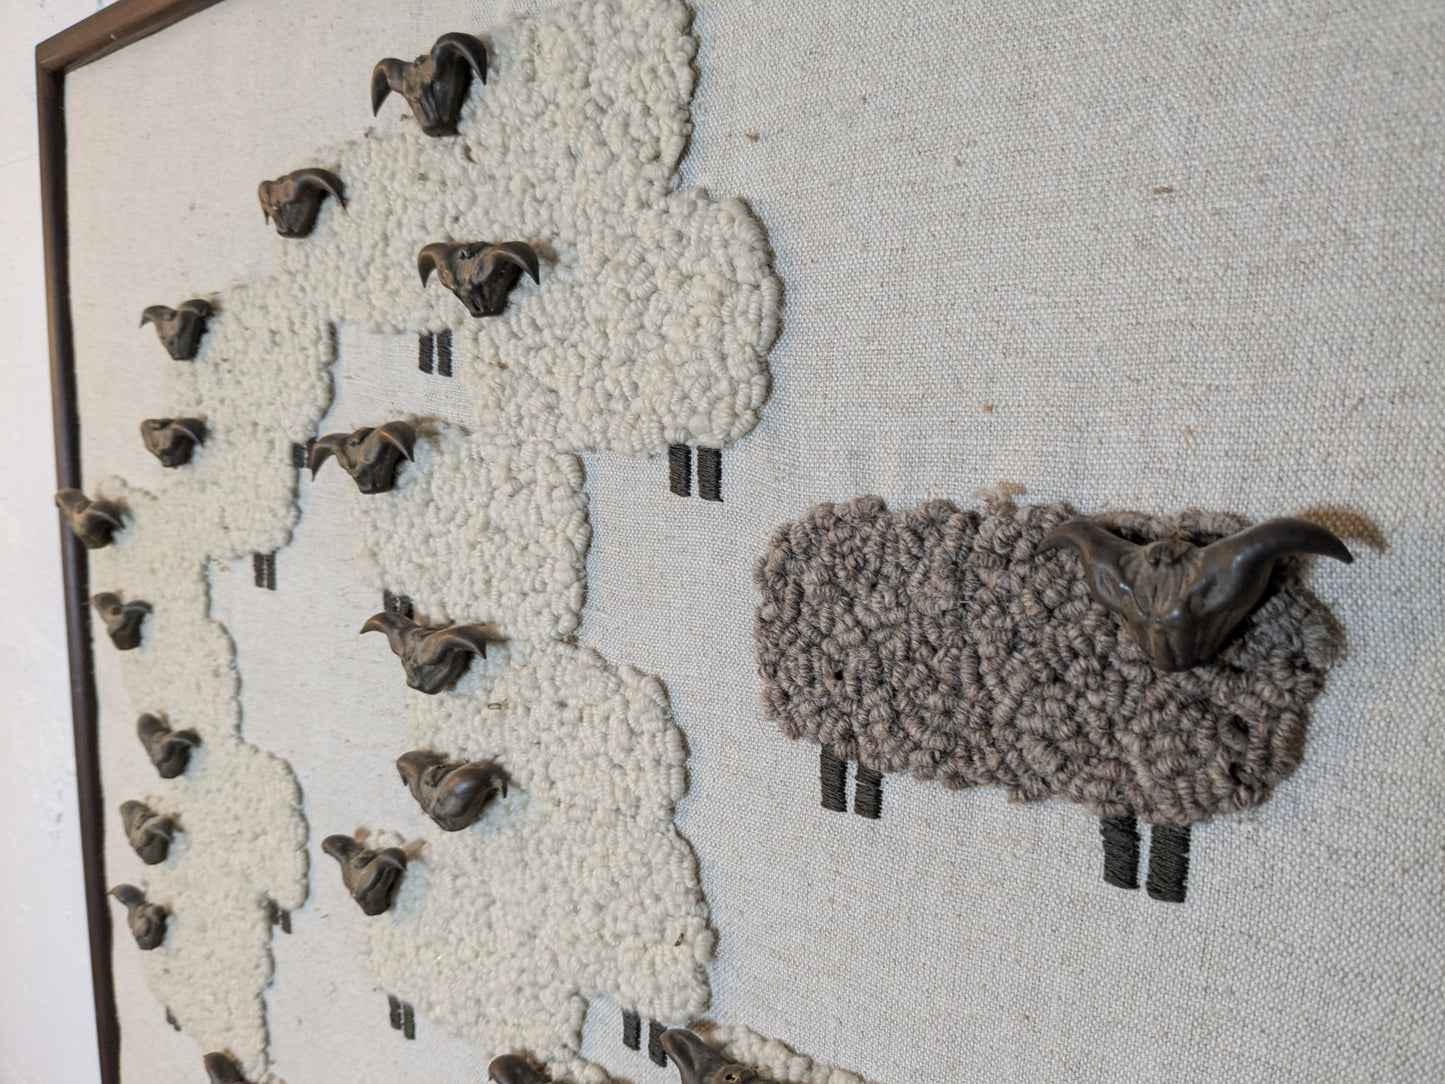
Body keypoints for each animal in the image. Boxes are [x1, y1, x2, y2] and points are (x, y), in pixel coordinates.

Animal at [753, 493, 1345, 902]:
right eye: (1131, 606)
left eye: (1208, 603)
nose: (1168, 654)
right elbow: (1122, 836)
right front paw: (1130, 878)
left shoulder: (1153, 782)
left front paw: (1156, 886)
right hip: (828, 708)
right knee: (834, 761)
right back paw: (846, 801)